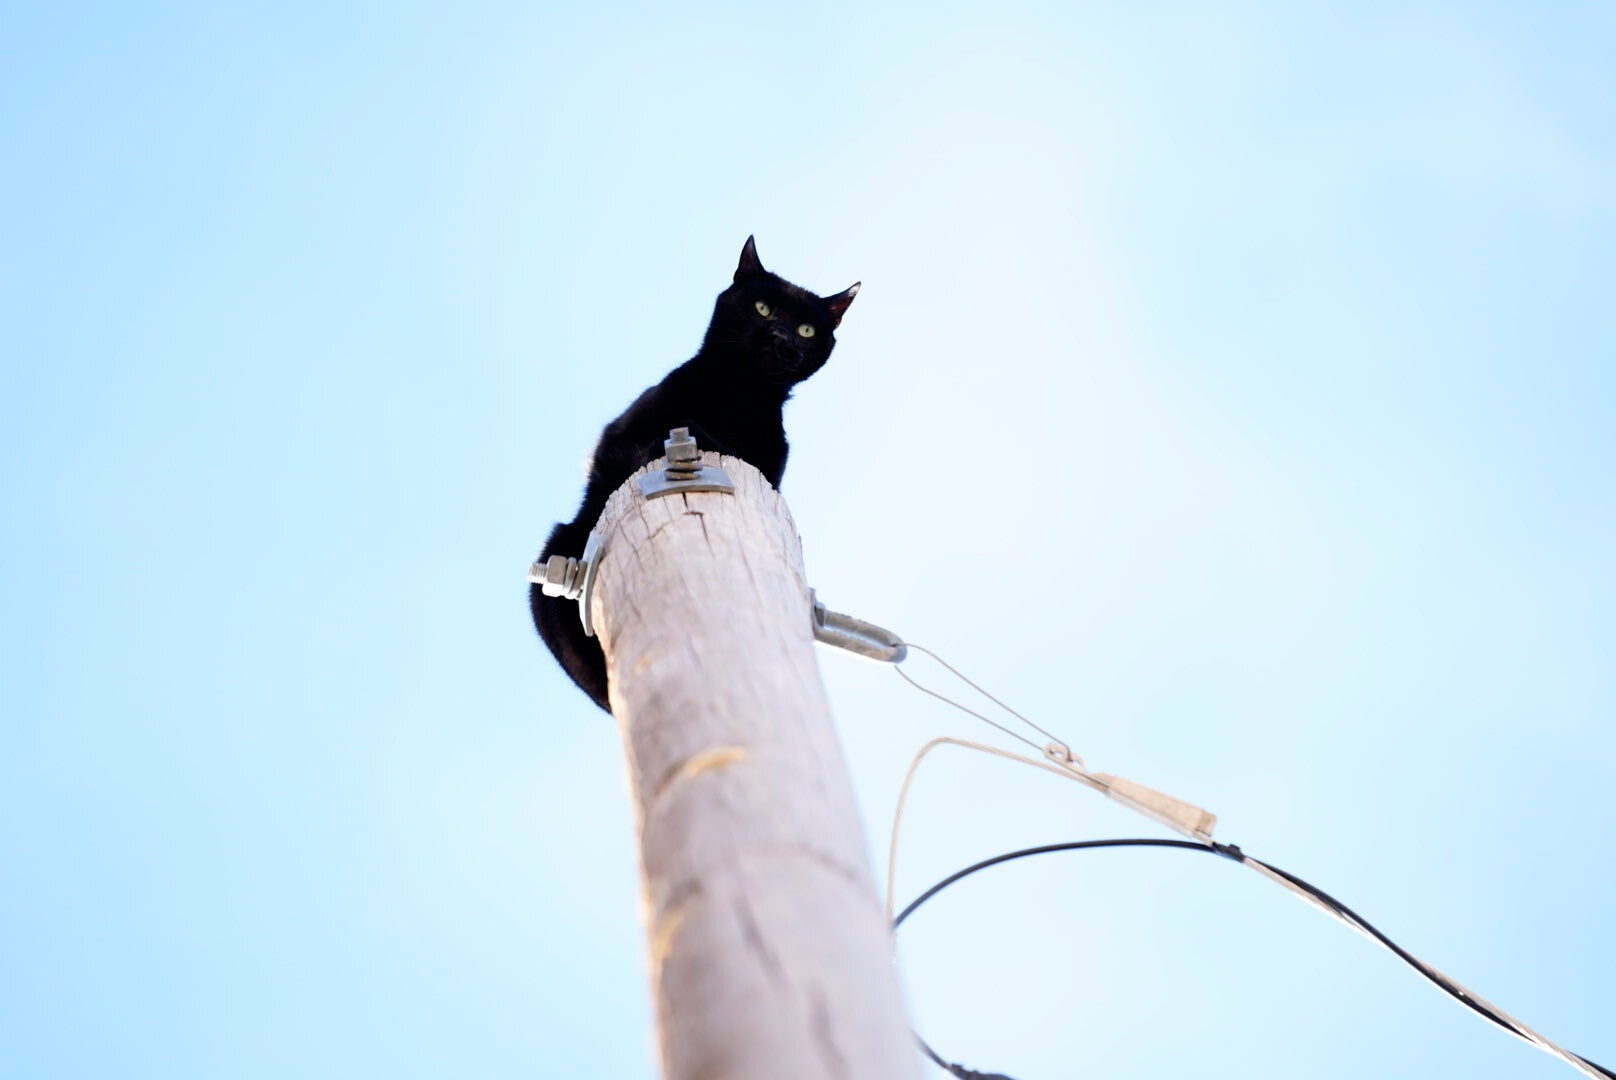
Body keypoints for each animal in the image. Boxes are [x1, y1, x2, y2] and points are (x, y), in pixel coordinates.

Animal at [526, 234, 859, 708]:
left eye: (806, 330)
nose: (779, 336)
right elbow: (632, 449)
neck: (734, 394)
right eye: (762, 308)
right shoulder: (618, 437)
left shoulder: (769, 469)